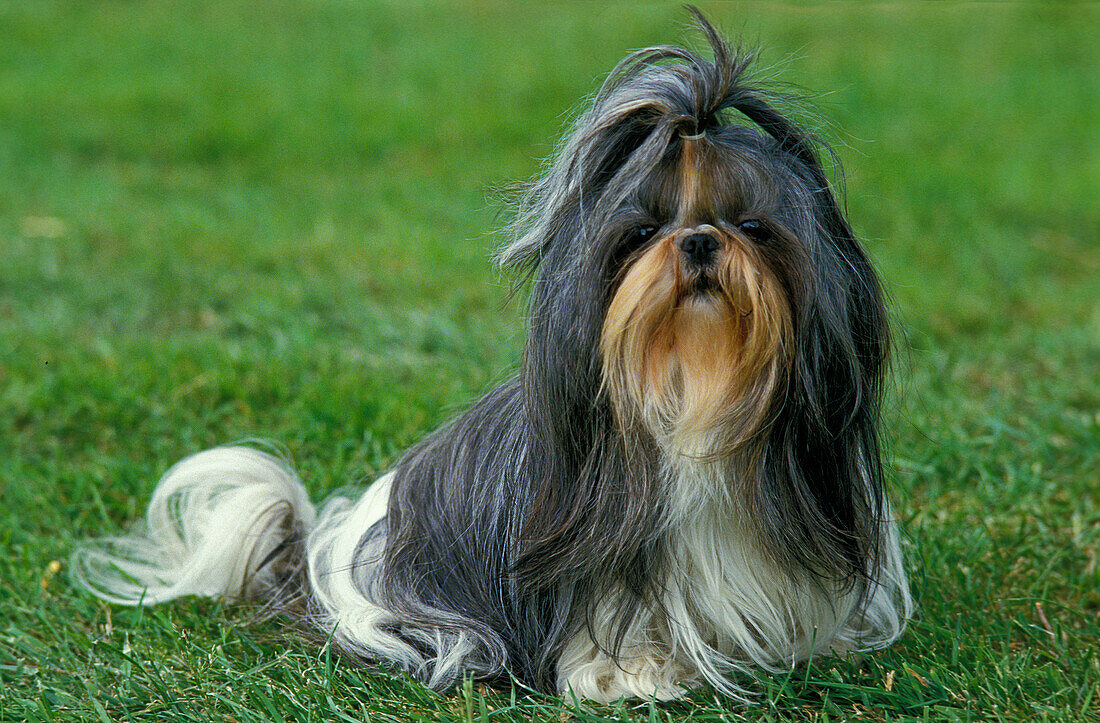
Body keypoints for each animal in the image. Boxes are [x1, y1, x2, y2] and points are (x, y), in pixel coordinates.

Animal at [70, 9, 910, 699]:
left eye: (753, 226)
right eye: (641, 232)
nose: (700, 241)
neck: (692, 389)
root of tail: (332, 550)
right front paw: (634, 672)